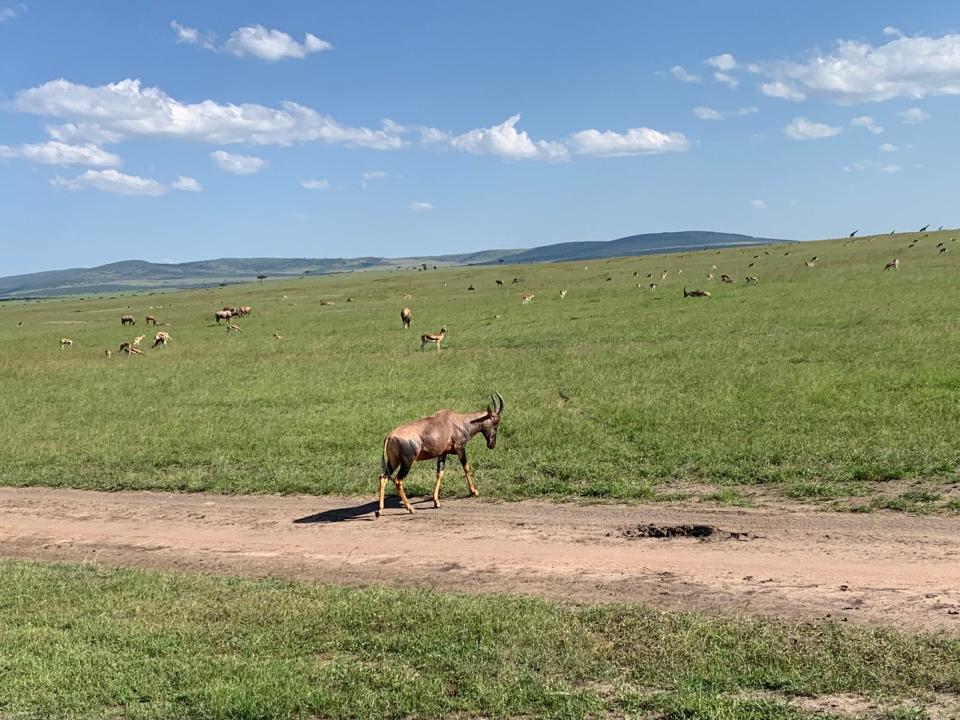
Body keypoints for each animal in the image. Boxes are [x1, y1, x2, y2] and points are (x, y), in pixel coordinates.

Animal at [376, 390, 506, 516]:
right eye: (496, 422)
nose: (492, 444)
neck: (458, 421)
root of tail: (390, 436)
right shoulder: (460, 448)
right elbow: (466, 468)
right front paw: (474, 492)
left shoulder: (442, 454)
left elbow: (440, 474)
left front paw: (436, 502)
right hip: (407, 463)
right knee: (398, 481)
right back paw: (411, 509)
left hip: (393, 461)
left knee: (383, 477)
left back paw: (380, 511)